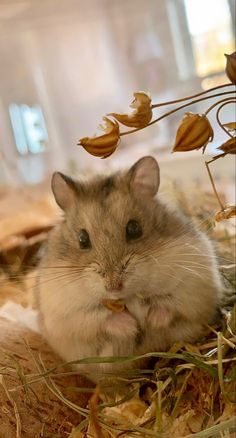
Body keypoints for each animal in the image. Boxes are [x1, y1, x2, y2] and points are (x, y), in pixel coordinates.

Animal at [36, 157, 223, 380]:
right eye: (82, 239)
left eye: (134, 228)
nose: (113, 286)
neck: (128, 297)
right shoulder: (65, 314)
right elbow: (99, 318)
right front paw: (132, 327)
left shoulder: (196, 283)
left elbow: (170, 304)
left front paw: (151, 321)